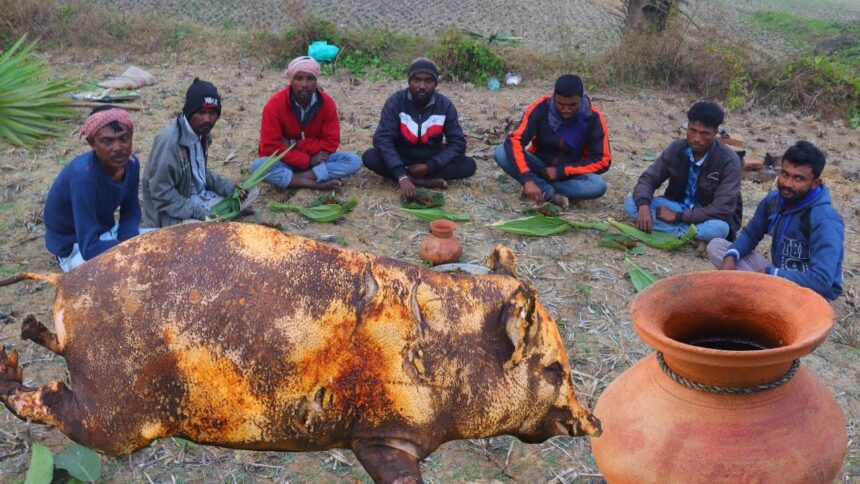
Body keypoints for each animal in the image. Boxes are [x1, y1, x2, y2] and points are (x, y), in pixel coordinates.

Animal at [0, 222, 600, 483]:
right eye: (553, 369)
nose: (594, 421)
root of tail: (66, 284)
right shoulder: (383, 436)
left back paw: (24, 332)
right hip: (117, 414)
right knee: (48, 400)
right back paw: (10, 362)